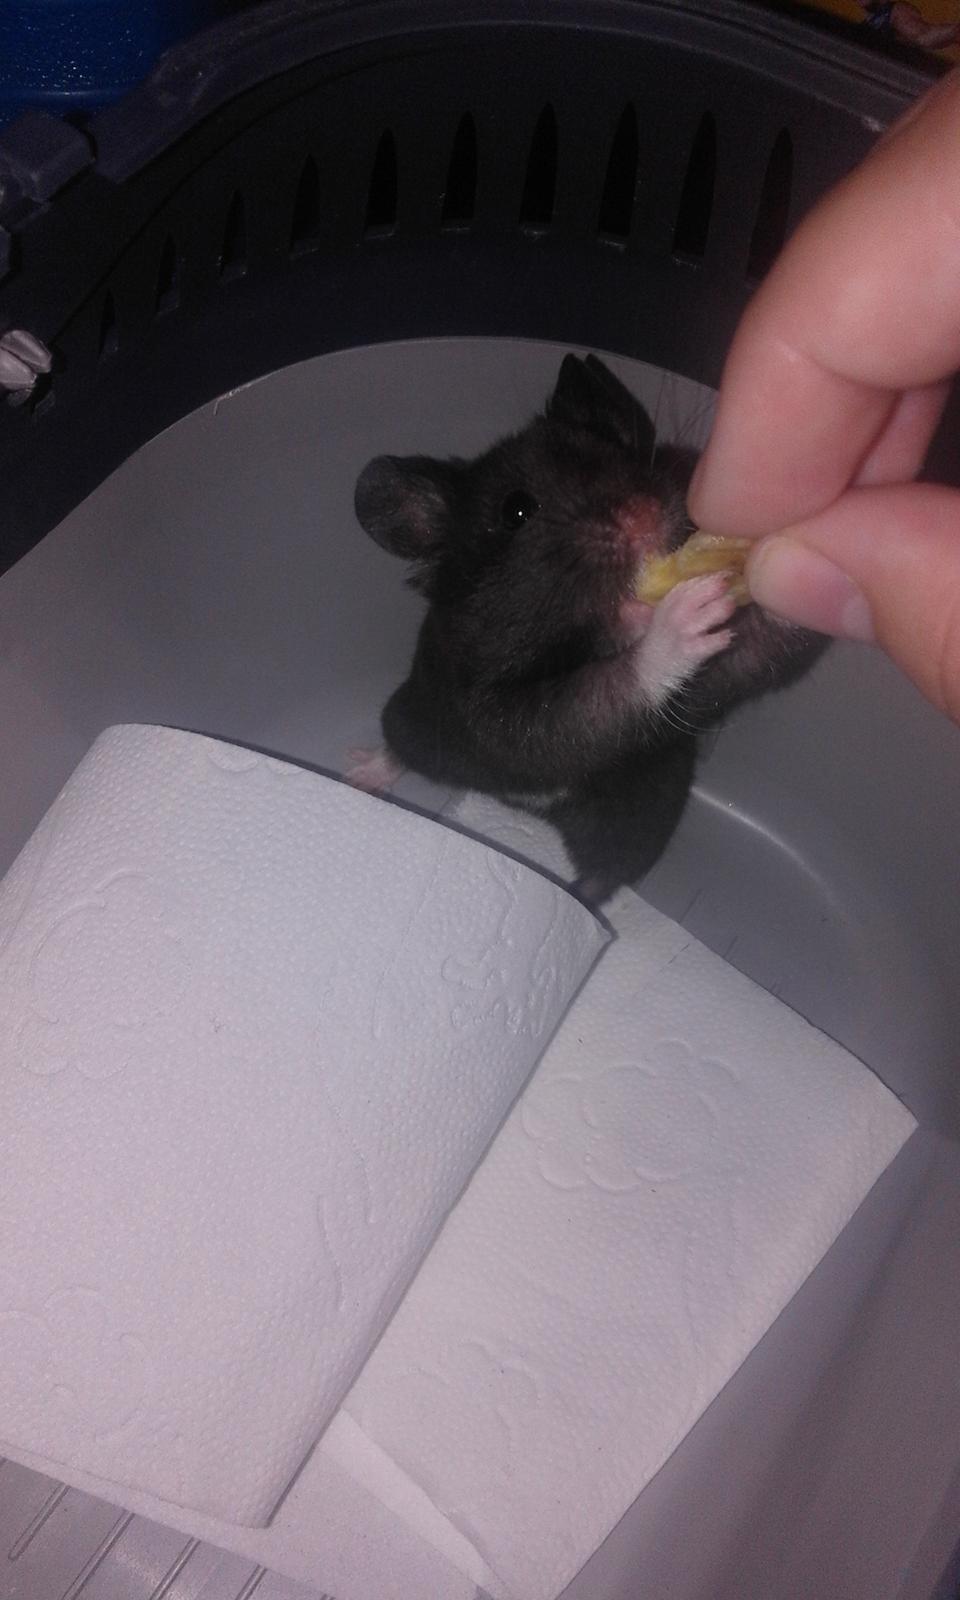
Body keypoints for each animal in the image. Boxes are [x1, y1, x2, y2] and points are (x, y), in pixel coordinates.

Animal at [348, 353, 825, 903]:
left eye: (623, 454)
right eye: (517, 510)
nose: (644, 518)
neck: (579, 647)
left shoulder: (707, 687)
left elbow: (760, 645)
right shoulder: (498, 717)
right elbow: (601, 697)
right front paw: (691, 612)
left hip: (636, 818)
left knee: (601, 878)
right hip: (414, 717)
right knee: (400, 747)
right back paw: (357, 772)